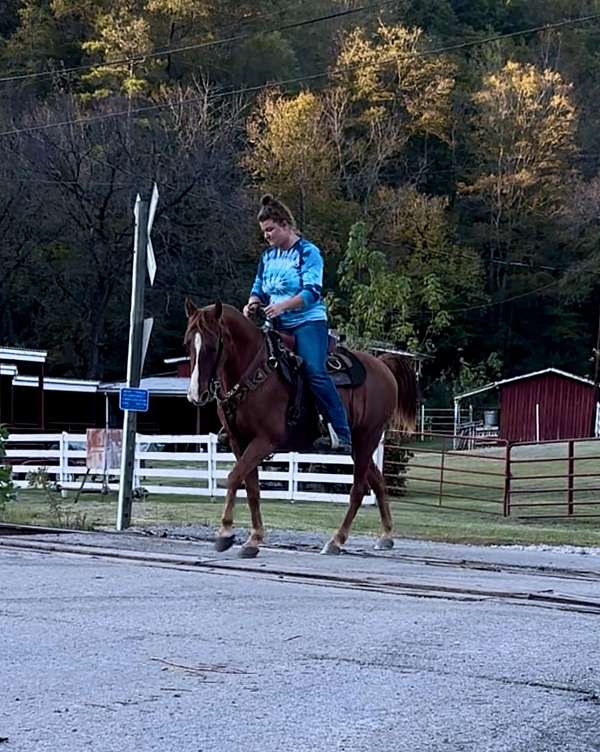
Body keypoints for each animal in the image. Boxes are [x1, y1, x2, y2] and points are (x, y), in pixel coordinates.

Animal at [184, 302, 418, 560]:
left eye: (212, 345)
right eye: (187, 343)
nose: (195, 394)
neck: (256, 371)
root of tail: (383, 365)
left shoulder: (265, 440)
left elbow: (234, 477)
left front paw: (225, 533)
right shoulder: (239, 442)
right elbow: (252, 487)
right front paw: (254, 539)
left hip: (368, 437)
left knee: (358, 489)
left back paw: (336, 541)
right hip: (357, 446)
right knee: (377, 481)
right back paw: (386, 535)